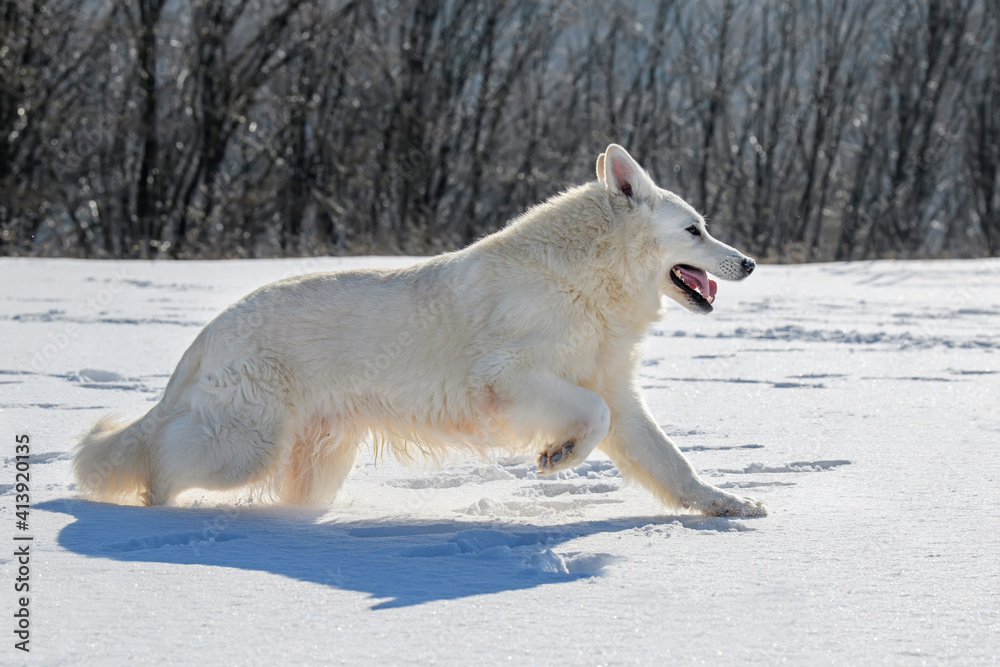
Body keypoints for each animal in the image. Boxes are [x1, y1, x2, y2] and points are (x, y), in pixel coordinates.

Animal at [74, 146, 768, 520]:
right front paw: (560, 455)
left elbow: (672, 464)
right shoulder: (511, 381)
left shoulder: (619, 397)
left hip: (312, 459)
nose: (750, 262)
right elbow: (590, 417)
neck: (589, 279)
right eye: (695, 230)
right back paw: (152, 509)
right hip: (245, 446)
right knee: (162, 458)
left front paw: (726, 505)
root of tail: (210, 330)